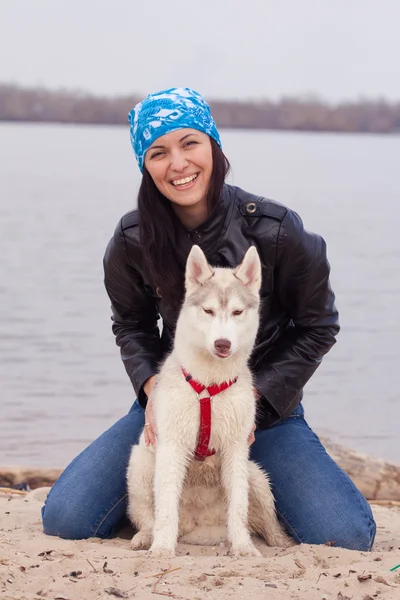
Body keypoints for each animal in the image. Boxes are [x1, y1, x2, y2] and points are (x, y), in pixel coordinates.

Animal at [126, 244, 290, 556]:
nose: (222, 344)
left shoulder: (237, 448)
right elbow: (166, 507)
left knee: (268, 525)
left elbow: (237, 507)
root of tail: (195, 526)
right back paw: (146, 537)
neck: (209, 385)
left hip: (257, 479)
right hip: (140, 466)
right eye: (208, 310)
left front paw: (243, 549)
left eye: (237, 312)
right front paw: (162, 549)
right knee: (148, 517)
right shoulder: (172, 446)